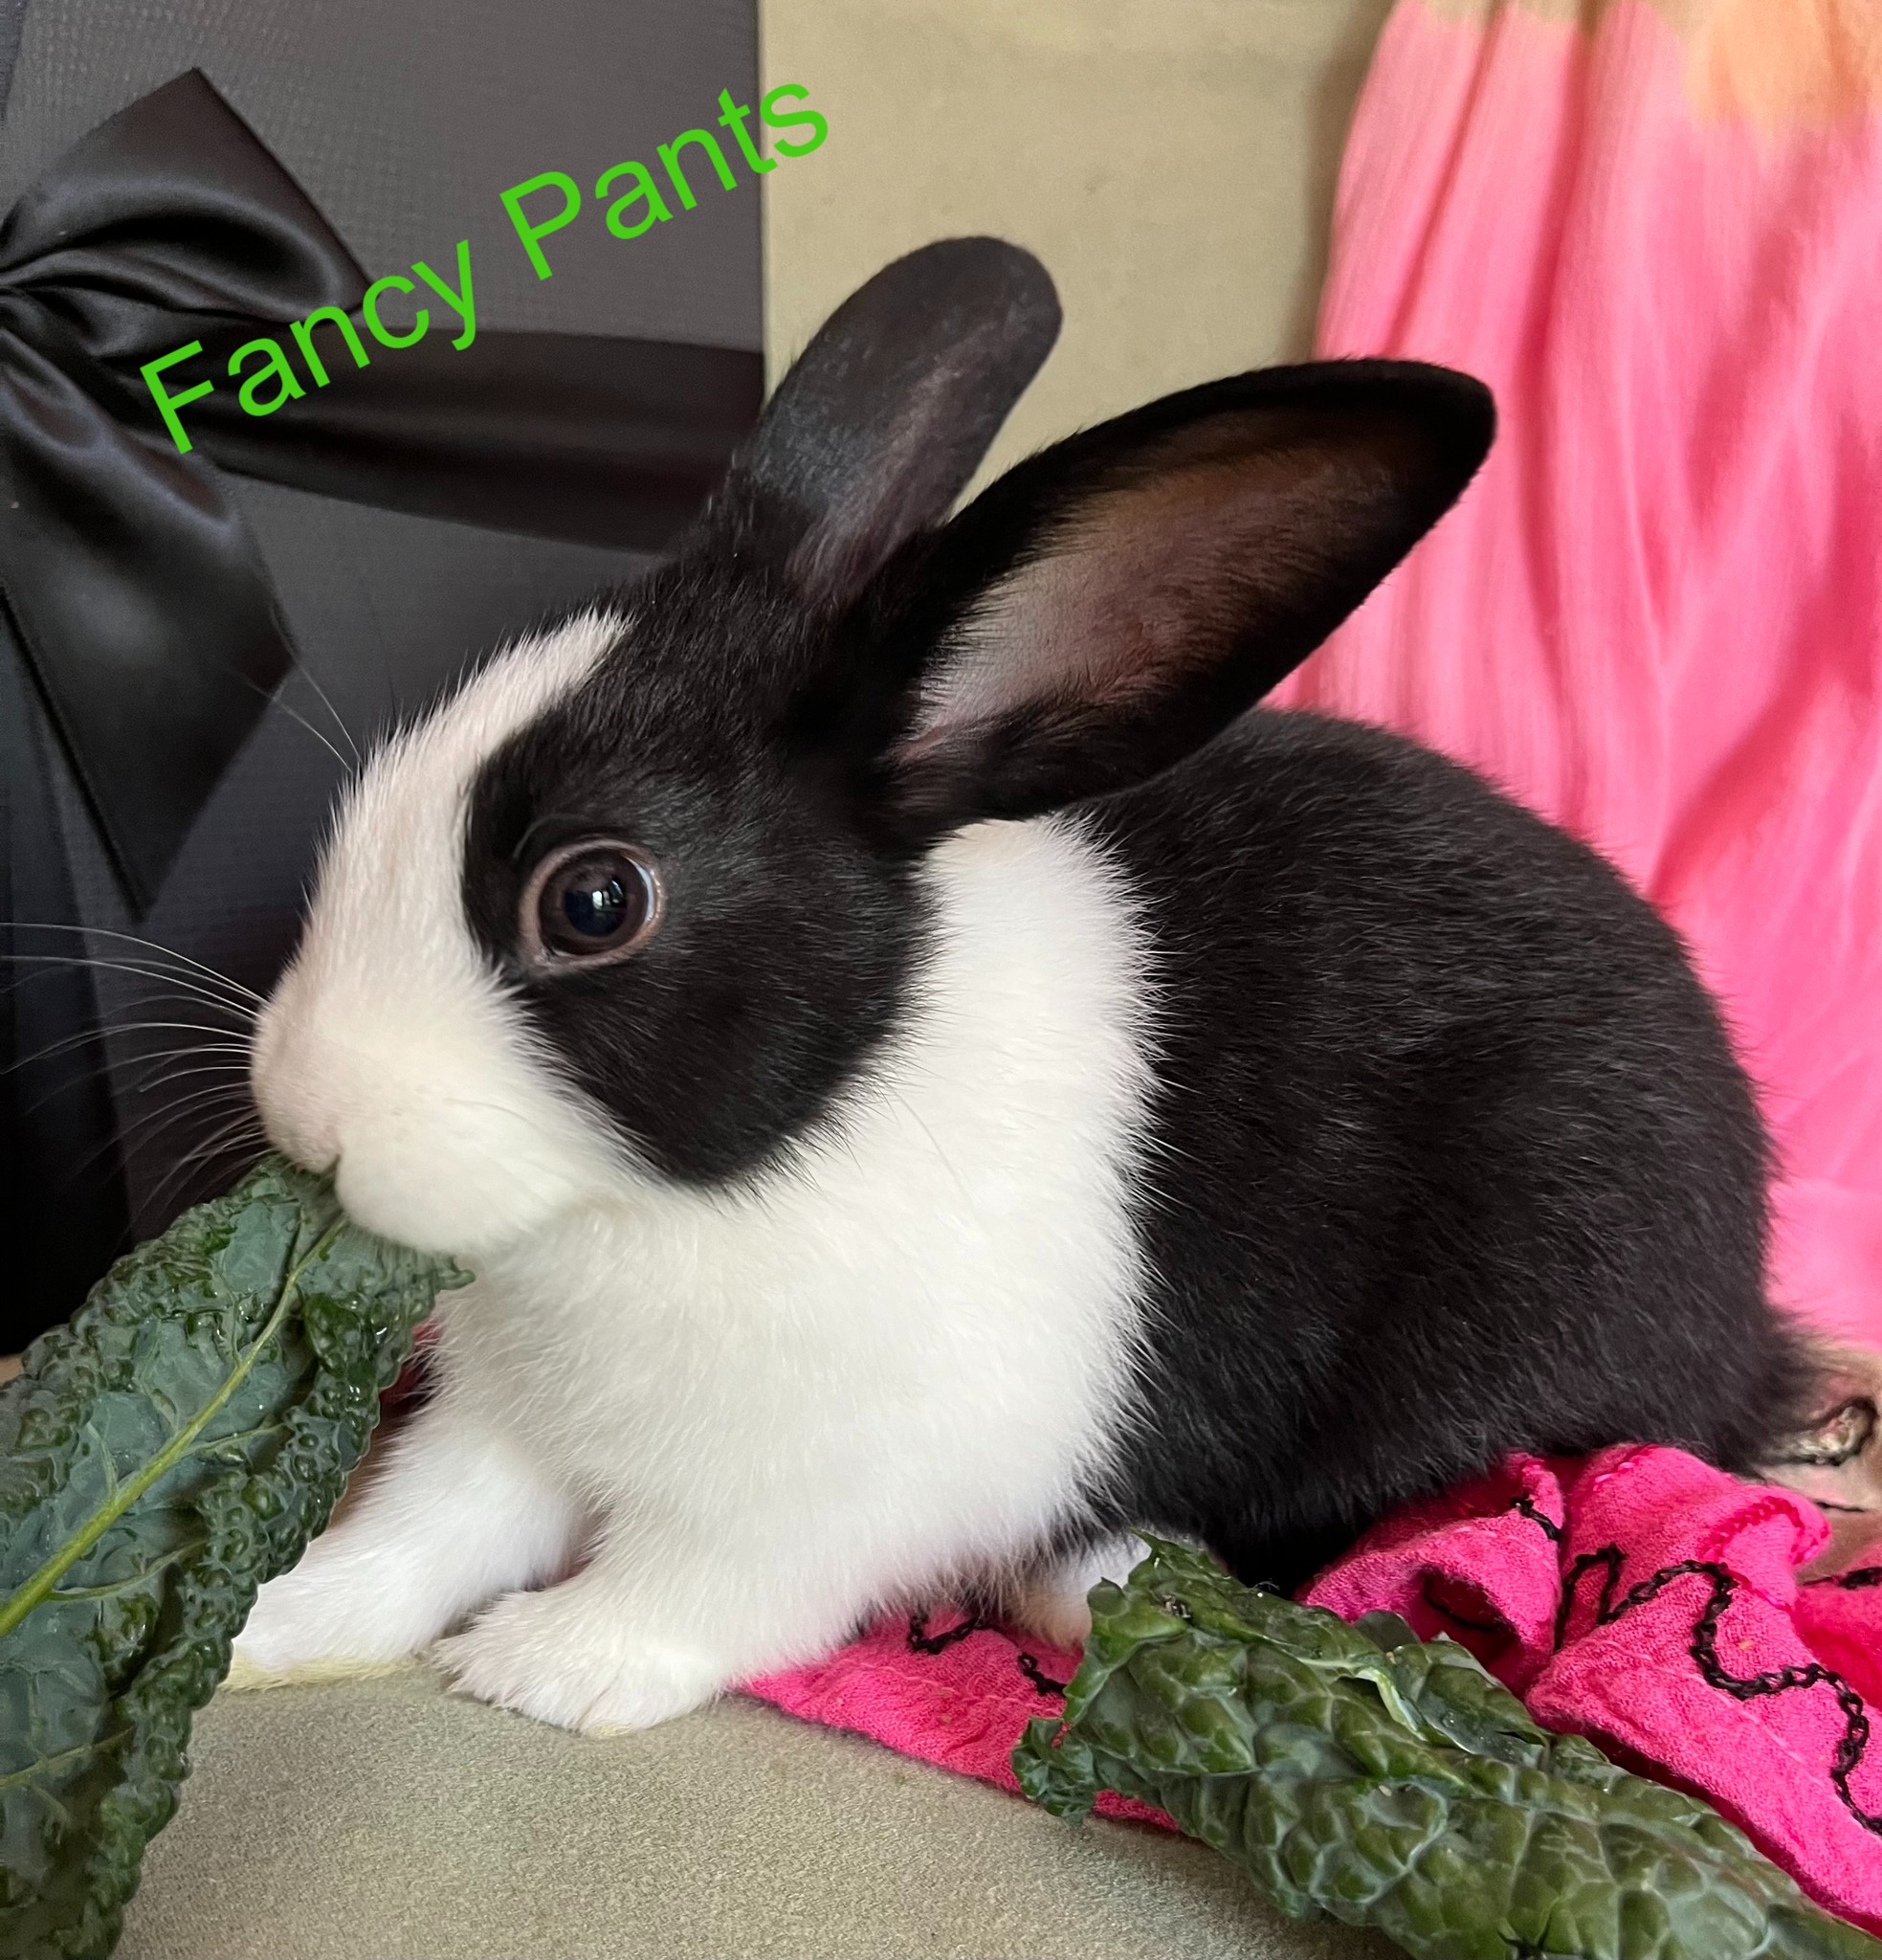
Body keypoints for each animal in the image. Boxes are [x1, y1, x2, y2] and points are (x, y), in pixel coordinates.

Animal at [233, 237, 1815, 1732]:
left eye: (593, 900)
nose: (303, 1112)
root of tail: (1754, 1320)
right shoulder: (497, 1424)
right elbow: (418, 1532)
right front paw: (271, 1629)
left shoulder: (817, 1502)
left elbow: (696, 1590)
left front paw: (542, 1668)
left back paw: (1095, 1576)